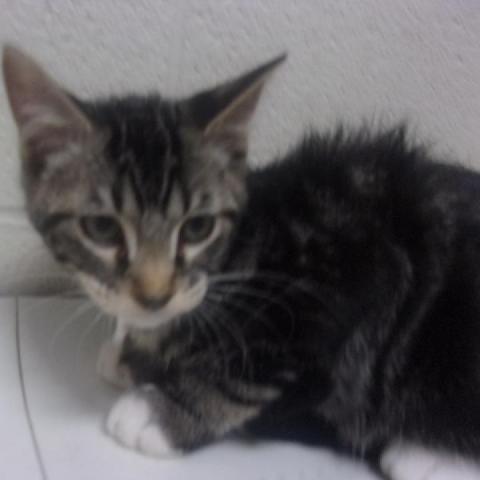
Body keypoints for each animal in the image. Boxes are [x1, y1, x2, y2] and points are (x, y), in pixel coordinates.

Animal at [4, 44, 480, 480]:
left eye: (197, 228)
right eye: (102, 228)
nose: (156, 296)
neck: (241, 253)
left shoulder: (357, 273)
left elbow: (249, 374)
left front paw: (159, 411)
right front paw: (132, 349)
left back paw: (425, 455)